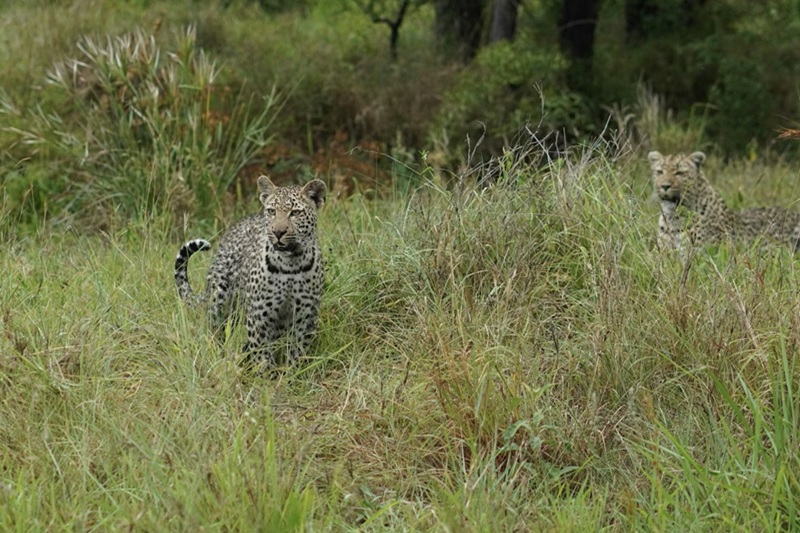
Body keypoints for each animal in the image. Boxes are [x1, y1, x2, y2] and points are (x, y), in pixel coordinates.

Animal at [174, 176, 327, 371]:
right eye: (271, 211)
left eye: (295, 212)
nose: (278, 232)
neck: (290, 265)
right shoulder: (259, 315)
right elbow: (262, 354)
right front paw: (266, 376)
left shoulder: (305, 317)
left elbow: (297, 353)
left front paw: (292, 374)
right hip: (219, 300)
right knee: (215, 330)